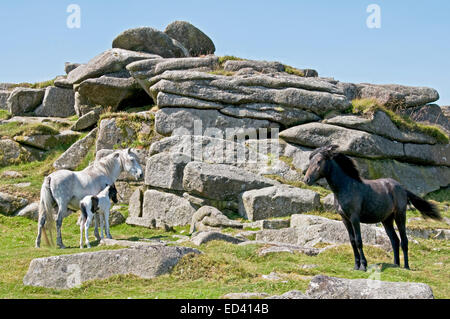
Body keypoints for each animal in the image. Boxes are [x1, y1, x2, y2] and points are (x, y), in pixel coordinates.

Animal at [304, 146, 442, 272]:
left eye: (319, 161)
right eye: (310, 160)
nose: (307, 179)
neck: (346, 187)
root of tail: (402, 188)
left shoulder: (354, 218)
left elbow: (359, 241)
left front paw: (363, 266)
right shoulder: (345, 219)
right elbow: (352, 241)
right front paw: (356, 266)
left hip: (400, 216)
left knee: (404, 240)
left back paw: (406, 267)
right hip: (387, 220)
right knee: (394, 240)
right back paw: (395, 265)